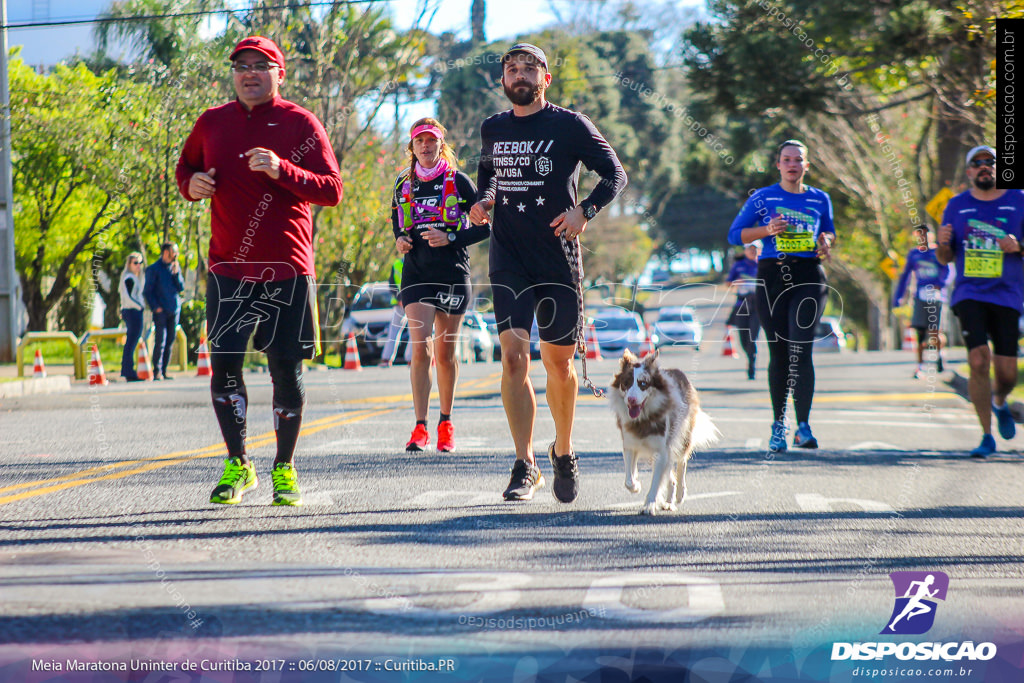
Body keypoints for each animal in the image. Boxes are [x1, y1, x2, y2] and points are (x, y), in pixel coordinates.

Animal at [606, 350, 720, 516]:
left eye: (643, 383)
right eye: (626, 383)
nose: (631, 400)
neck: (644, 419)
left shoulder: (662, 449)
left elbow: (656, 481)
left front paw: (649, 505)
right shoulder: (630, 442)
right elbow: (629, 478)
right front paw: (636, 486)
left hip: (683, 434)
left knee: (682, 462)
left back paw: (679, 494)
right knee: (670, 474)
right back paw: (668, 501)